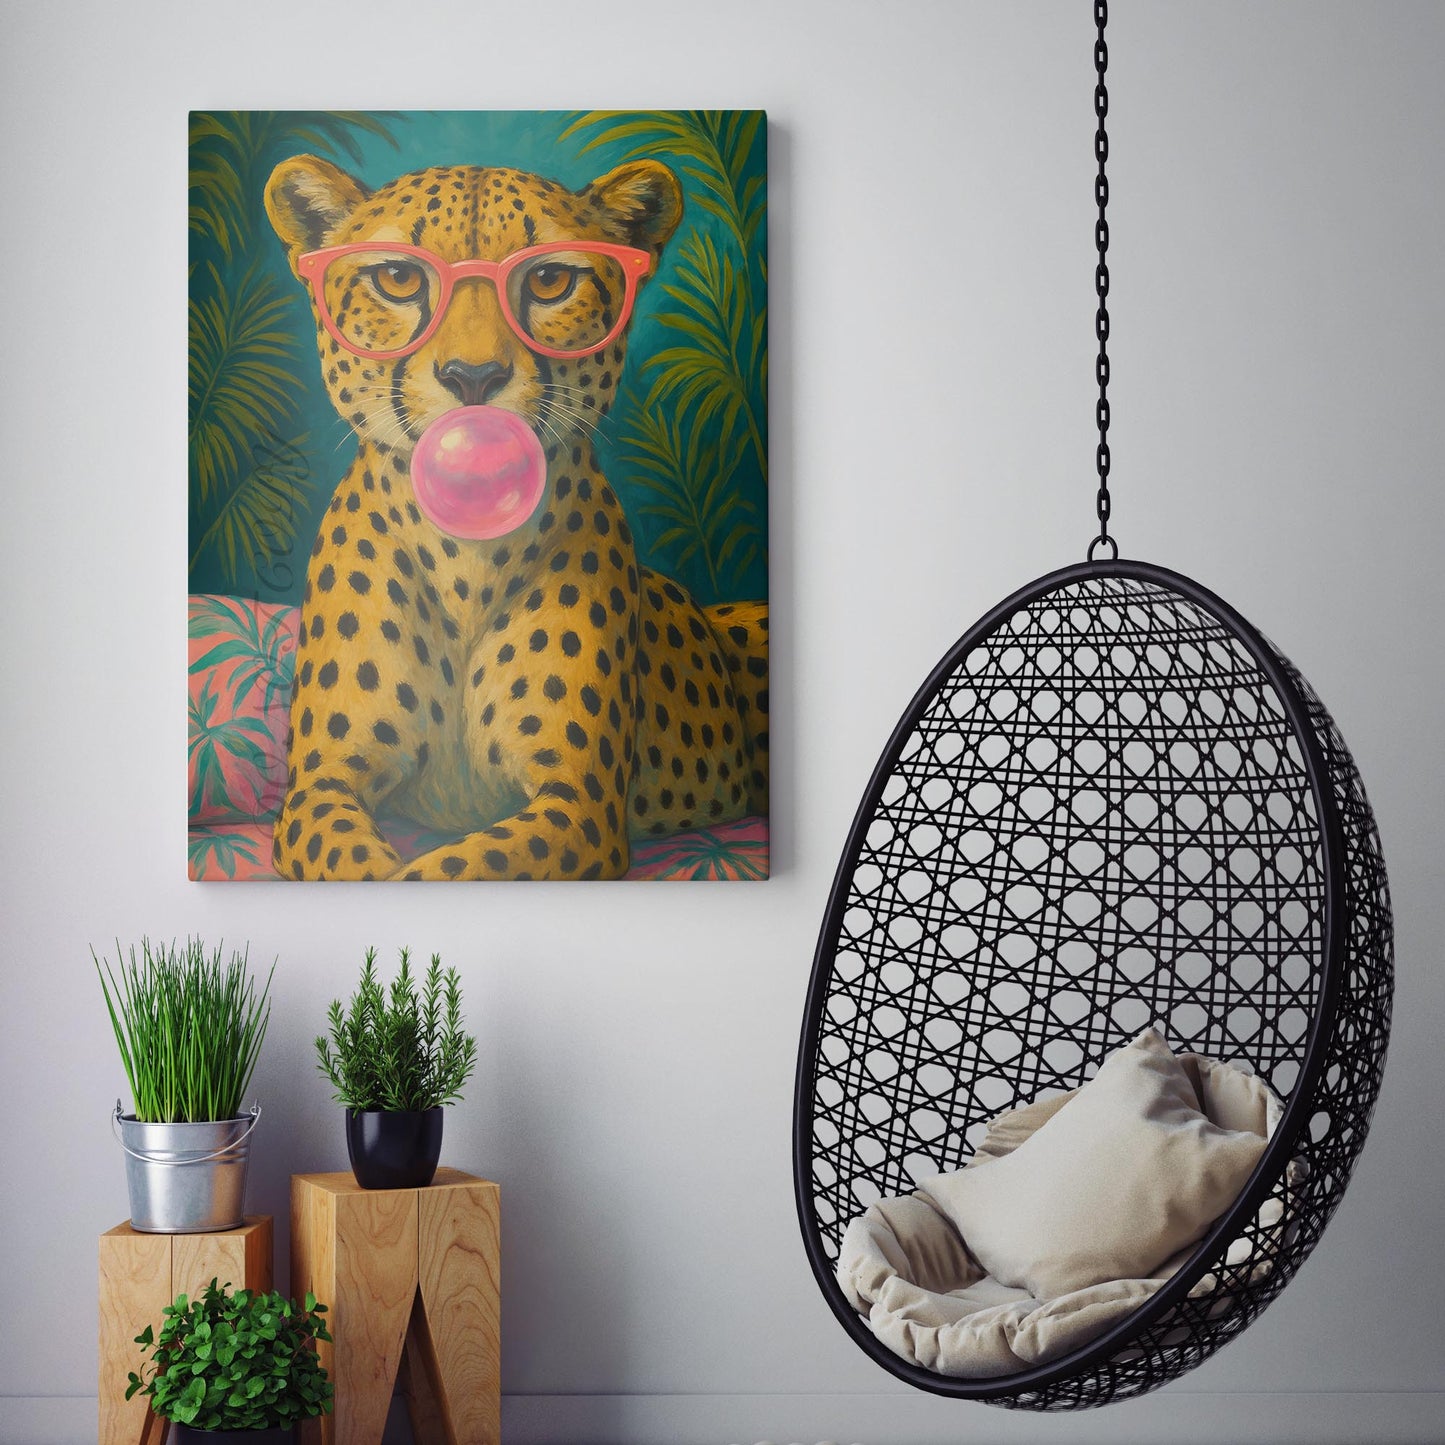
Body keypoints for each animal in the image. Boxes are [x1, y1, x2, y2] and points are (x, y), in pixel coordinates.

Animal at [263, 154, 768, 880]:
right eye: (398, 278)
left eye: (550, 279)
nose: (472, 377)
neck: (466, 550)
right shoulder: (320, 783)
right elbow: (368, 866)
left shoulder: (579, 803)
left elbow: (460, 866)